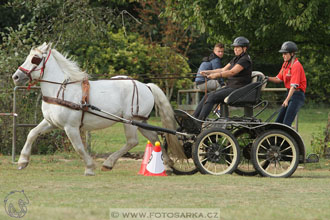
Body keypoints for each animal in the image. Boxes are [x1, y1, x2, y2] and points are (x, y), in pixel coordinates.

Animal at [11, 42, 184, 175]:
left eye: (35, 59)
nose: (16, 77)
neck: (61, 89)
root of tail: (146, 86)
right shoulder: (51, 122)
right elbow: (32, 133)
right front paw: (22, 161)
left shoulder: (71, 127)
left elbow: (79, 148)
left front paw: (89, 167)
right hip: (142, 122)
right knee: (155, 139)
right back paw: (167, 166)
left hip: (130, 121)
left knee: (132, 141)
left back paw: (108, 163)